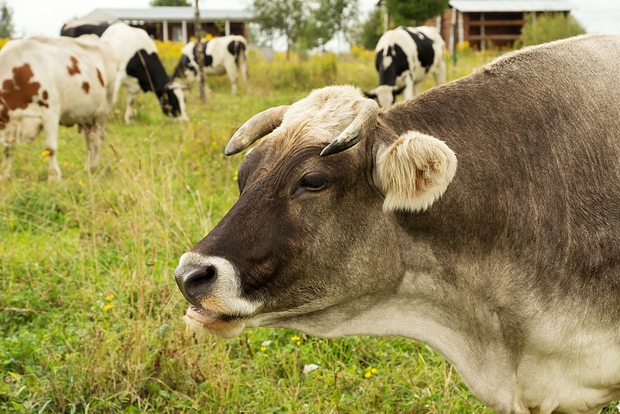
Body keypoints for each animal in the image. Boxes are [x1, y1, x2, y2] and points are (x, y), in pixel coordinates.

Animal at [0, 36, 116, 182]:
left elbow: (50, 148)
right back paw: (88, 167)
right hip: (86, 116)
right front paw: (5, 175)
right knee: (89, 141)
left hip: (102, 111)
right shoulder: (11, 120)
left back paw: (93, 167)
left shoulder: (50, 112)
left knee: (97, 140)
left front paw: (54, 178)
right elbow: (8, 148)